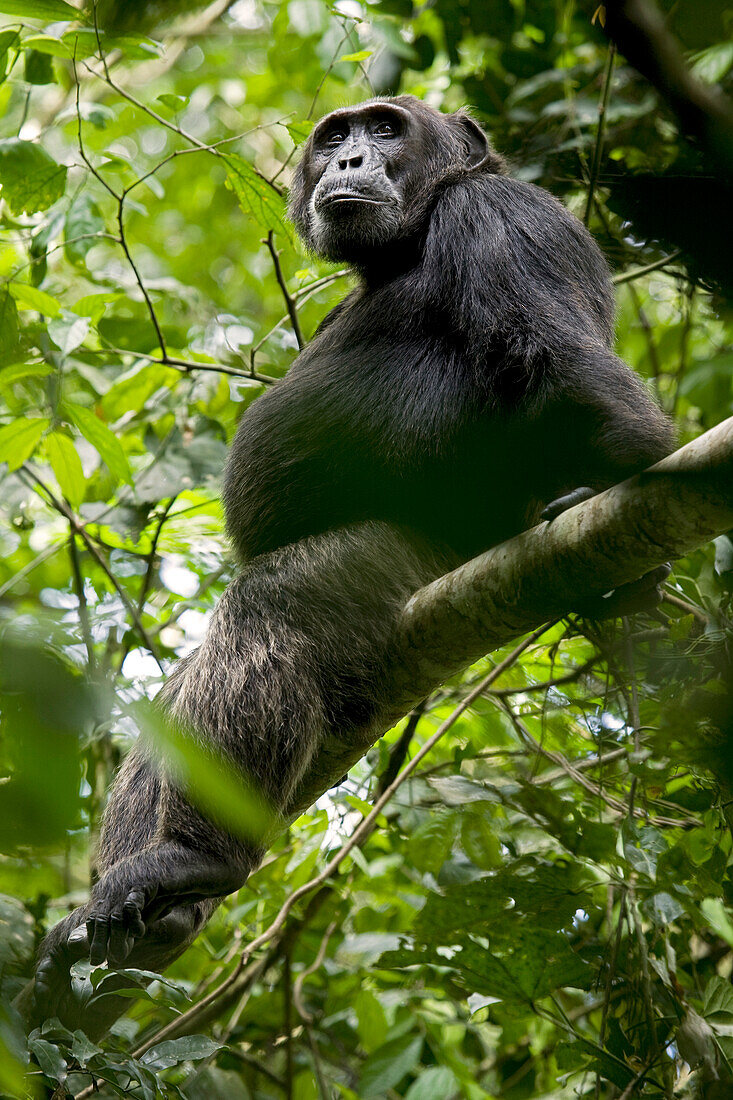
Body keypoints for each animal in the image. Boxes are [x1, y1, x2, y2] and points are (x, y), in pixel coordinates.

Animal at [27, 94, 669, 1029]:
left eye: (386, 129)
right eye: (334, 136)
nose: (351, 158)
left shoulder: (502, 220)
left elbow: (559, 355)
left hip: (406, 566)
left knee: (272, 608)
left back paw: (194, 860)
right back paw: (143, 912)